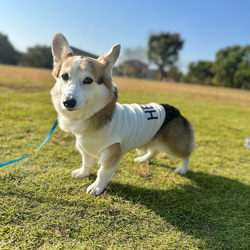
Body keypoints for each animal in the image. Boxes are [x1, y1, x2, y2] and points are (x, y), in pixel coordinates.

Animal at [50, 32, 195, 195]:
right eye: (64, 76)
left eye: (88, 80)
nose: (68, 102)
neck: (93, 114)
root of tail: (175, 110)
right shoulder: (85, 150)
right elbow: (86, 163)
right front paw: (82, 173)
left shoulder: (111, 154)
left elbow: (102, 172)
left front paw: (96, 187)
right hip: (153, 137)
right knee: (155, 150)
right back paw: (142, 159)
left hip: (174, 146)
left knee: (186, 155)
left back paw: (182, 169)